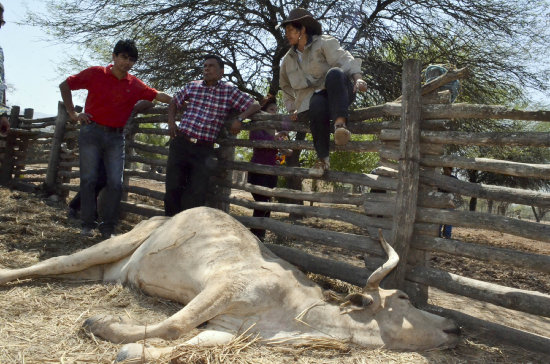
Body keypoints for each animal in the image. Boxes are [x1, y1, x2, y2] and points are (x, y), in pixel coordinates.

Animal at [0, 205, 460, 362]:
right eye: (403, 296)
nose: (455, 326)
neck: (299, 316)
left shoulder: (229, 329)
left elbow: (190, 342)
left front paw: (135, 350)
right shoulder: (225, 288)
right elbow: (175, 325)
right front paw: (100, 325)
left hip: (104, 270)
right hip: (118, 243)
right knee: (49, 263)